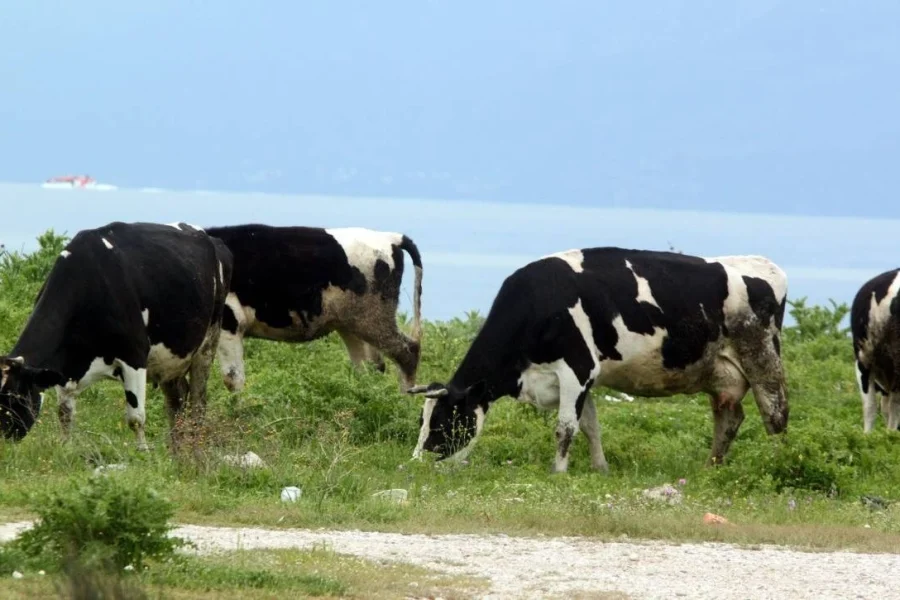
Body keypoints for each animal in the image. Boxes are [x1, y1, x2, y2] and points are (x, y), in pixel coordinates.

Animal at [0, 219, 232, 446]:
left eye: (16, 398)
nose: (4, 441)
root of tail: (212, 239)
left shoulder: (134, 357)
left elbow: (136, 418)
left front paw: (142, 452)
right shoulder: (64, 366)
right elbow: (65, 414)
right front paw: (65, 448)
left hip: (208, 343)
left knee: (198, 403)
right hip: (171, 360)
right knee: (177, 401)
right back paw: (177, 448)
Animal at [207, 223, 426, 392]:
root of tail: (390, 237)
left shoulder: (230, 321)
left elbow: (232, 379)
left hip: (373, 318)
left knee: (407, 352)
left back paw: (402, 402)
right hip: (352, 324)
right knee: (370, 367)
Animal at [408, 246, 788, 472]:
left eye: (443, 420)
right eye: (422, 420)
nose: (415, 464)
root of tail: (764, 264)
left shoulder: (576, 368)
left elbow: (566, 428)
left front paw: (558, 473)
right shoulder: (584, 377)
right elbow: (591, 425)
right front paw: (599, 468)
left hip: (763, 356)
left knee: (775, 414)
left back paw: (777, 462)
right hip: (720, 373)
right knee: (729, 417)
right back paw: (711, 465)